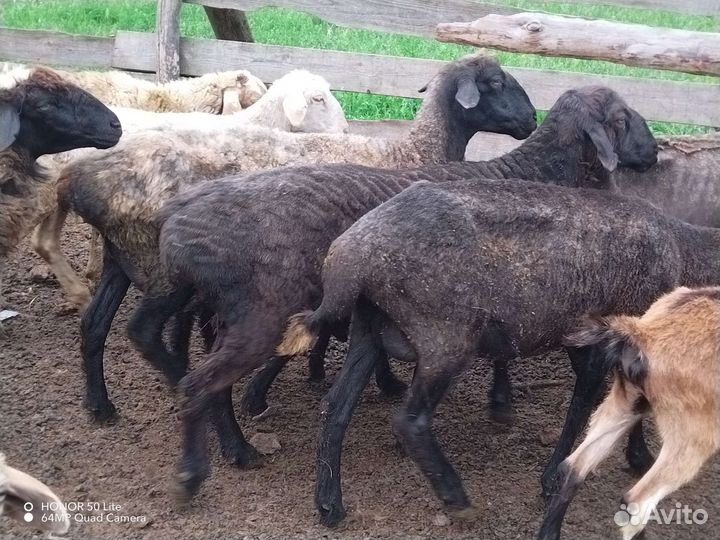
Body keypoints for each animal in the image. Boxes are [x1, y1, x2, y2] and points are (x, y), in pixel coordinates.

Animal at [153, 85, 657, 503]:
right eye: (623, 116)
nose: (654, 152)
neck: (543, 170)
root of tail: (178, 222)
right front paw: (500, 405)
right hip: (260, 314)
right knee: (205, 377)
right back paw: (208, 464)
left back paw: (236, 440)